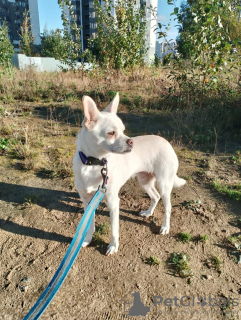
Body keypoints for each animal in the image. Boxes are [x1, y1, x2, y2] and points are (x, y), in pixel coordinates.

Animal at [72, 92, 185, 255]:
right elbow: (90, 223)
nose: (131, 141)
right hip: (144, 181)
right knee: (155, 196)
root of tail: (167, 142)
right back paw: (148, 213)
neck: (94, 163)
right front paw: (87, 240)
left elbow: (114, 229)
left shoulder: (113, 202)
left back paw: (165, 227)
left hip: (164, 184)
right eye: (111, 133)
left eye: (123, 130)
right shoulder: (87, 201)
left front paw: (113, 246)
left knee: (168, 206)